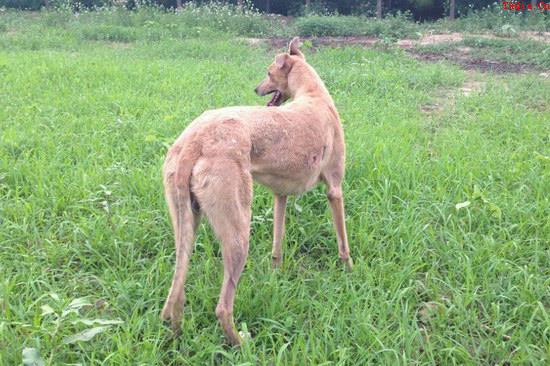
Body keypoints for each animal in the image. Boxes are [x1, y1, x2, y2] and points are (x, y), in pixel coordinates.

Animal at [162, 35, 356, 344]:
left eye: (267, 73)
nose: (256, 89)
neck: (313, 94)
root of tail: (196, 138)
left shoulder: (281, 195)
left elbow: (277, 241)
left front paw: (276, 273)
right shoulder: (335, 190)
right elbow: (343, 242)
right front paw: (349, 271)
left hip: (186, 225)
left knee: (177, 293)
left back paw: (179, 337)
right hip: (239, 231)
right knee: (223, 306)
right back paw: (241, 343)